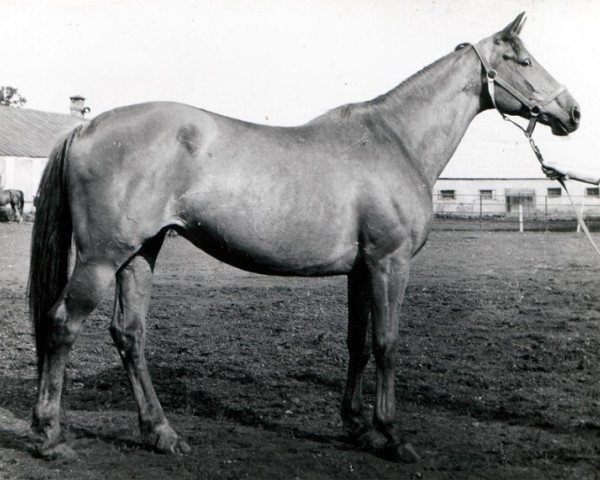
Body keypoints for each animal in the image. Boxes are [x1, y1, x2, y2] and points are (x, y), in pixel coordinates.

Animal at [29, 13, 580, 460]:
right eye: (524, 60)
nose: (573, 112)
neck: (395, 140)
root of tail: (85, 128)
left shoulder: (362, 270)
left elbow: (358, 343)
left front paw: (355, 426)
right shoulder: (390, 263)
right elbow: (387, 343)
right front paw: (392, 435)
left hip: (141, 253)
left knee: (129, 335)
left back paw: (161, 434)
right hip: (102, 258)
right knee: (61, 325)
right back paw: (50, 437)